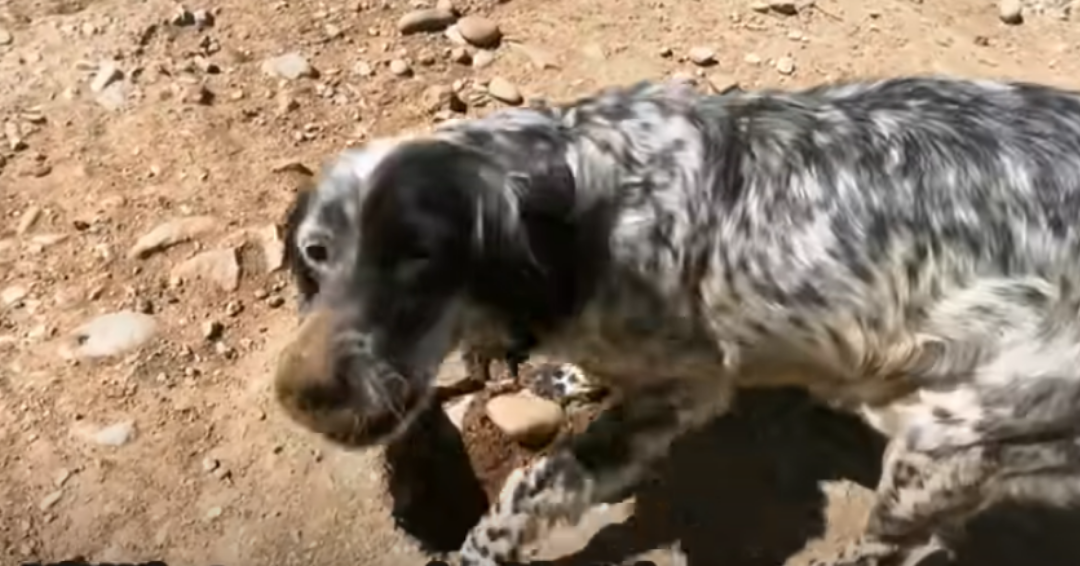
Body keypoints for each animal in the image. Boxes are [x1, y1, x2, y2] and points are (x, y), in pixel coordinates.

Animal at [276, 78, 1080, 566]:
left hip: (947, 441)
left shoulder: (685, 385)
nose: (301, 395)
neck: (582, 209)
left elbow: (531, 485)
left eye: (419, 256)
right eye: (316, 253)